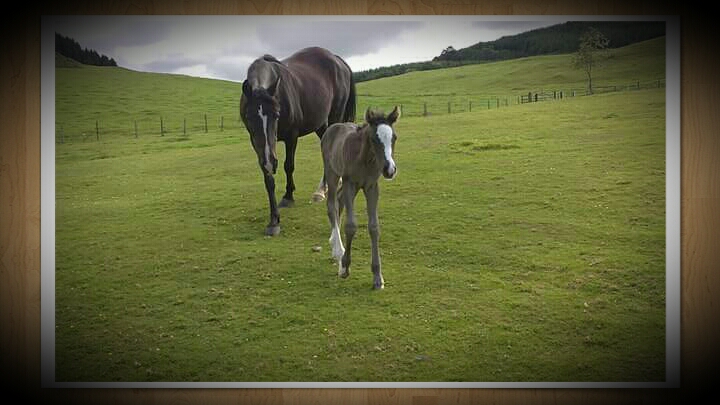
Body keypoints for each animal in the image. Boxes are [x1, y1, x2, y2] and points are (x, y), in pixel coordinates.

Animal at [240, 47, 356, 236]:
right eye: (250, 117)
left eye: (276, 115)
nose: (271, 162)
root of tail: (337, 59)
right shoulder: (257, 144)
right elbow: (267, 178)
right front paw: (274, 220)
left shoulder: (291, 136)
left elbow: (289, 166)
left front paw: (288, 197)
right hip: (320, 125)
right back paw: (322, 189)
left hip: (335, 118)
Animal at [321, 106, 400, 290]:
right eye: (374, 138)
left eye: (394, 137)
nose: (389, 170)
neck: (365, 159)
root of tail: (332, 127)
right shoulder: (350, 183)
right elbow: (351, 225)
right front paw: (345, 267)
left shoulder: (371, 187)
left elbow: (374, 227)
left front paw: (378, 277)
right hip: (332, 173)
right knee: (331, 205)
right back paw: (338, 251)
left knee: (339, 201)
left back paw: (335, 245)